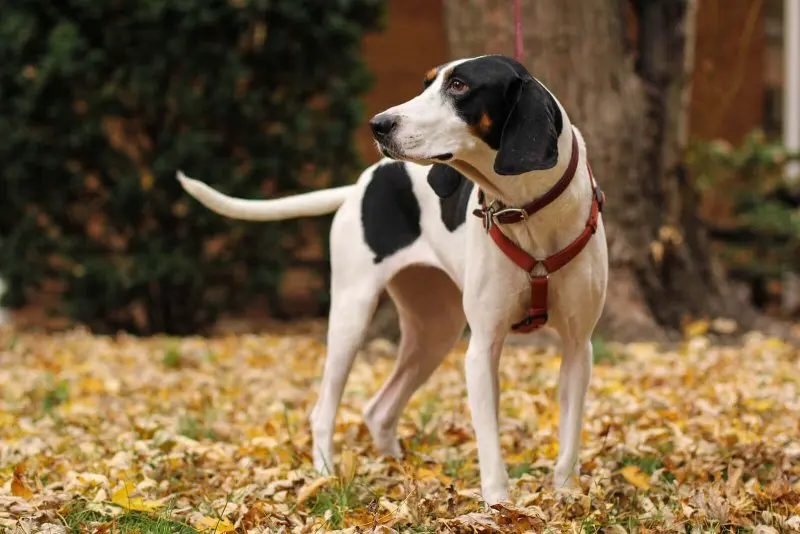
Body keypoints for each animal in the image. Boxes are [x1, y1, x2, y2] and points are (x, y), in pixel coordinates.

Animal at [178, 54, 608, 506]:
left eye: (458, 85)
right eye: (426, 83)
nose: (378, 124)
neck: (526, 210)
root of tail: (360, 184)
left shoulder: (578, 348)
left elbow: (569, 439)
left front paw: (566, 498)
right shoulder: (482, 349)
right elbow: (490, 450)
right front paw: (499, 508)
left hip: (435, 331)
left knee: (379, 410)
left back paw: (396, 470)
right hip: (352, 317)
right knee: (323, 410)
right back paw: (325, 475)